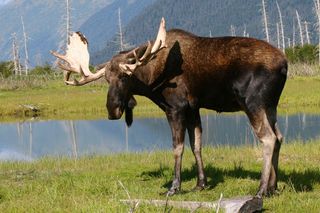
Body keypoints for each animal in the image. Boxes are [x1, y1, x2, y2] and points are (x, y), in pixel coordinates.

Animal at [50, 18, 288, 198]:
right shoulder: (193, 109)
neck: (152, 79)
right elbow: (196, 145)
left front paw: (174, 187)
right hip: (270, 106)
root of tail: (284, 64)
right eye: (107, 79)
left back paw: (260, 190)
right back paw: (273, 187)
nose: (112, 110)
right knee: (279, 136)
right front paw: (200, 184)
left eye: (125, 77)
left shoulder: (175, 107)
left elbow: (177, 147)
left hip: (252, 102)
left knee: (268, 138)